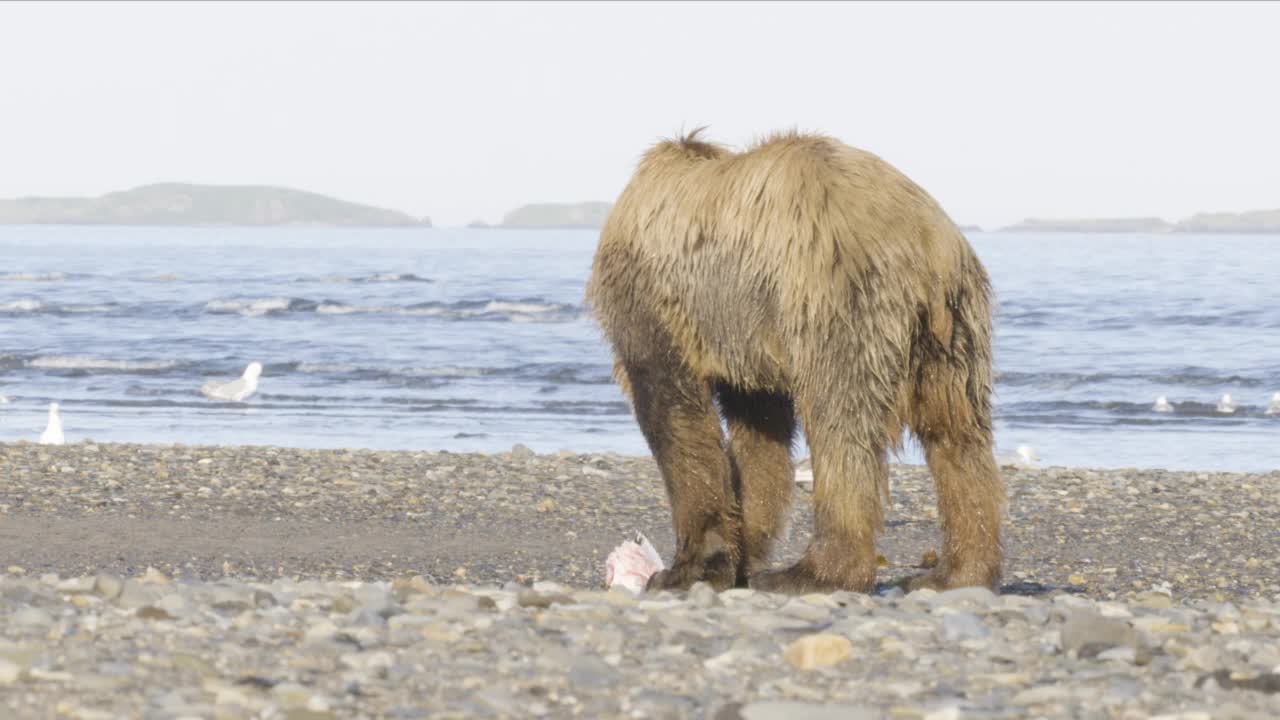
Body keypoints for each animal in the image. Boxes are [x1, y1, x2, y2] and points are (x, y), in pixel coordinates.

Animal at [586, 128, 1003, 594]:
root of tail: (928, 243)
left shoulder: (659, 304)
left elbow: (676, 416)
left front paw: (685, 568)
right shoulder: (747, 338)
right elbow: (760, 438)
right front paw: (742, 552)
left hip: (835, 298)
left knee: (841, 424)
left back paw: (814, 572)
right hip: (953, 332)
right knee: (956, 432)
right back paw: (955, 572)